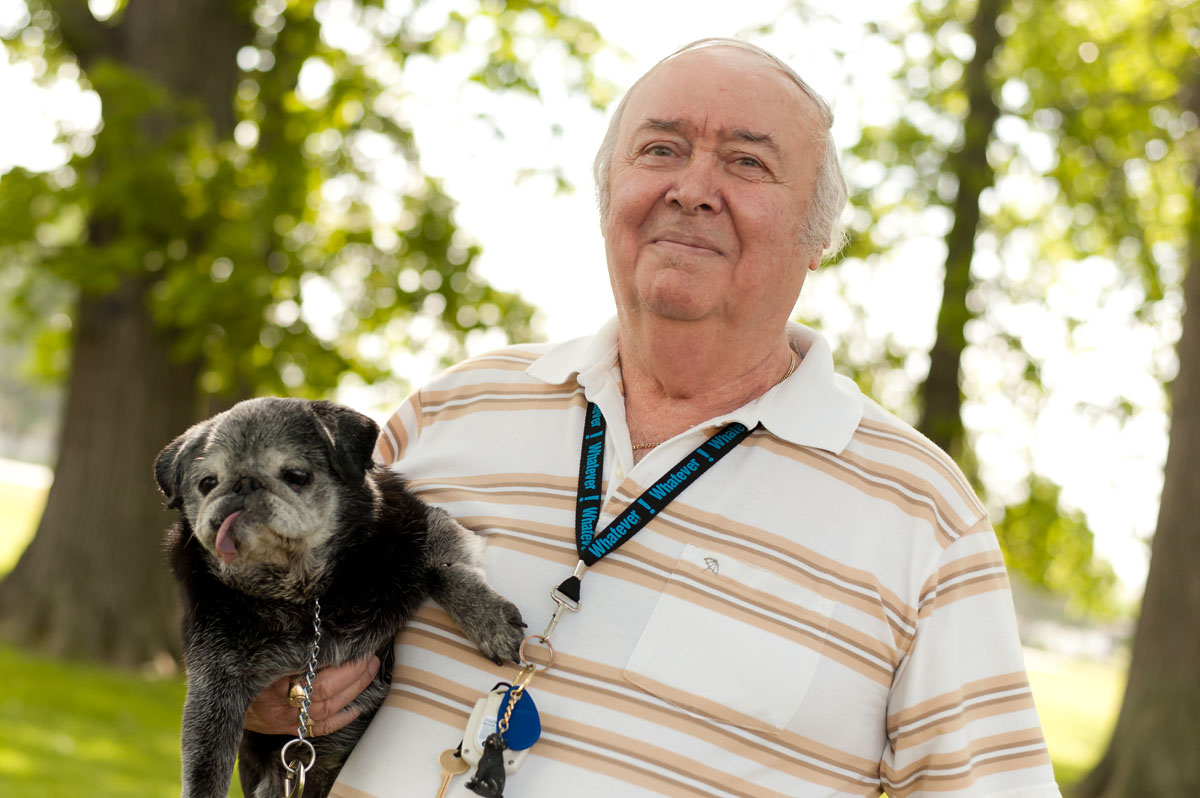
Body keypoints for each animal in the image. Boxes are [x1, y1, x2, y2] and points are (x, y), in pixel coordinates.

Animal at [156, 398, 525, 796]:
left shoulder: (428, 530)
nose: (243, 485)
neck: (304, 593)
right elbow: (205, 770)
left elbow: (444, 569)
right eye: (207, 483)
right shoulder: (214, 685)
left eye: (297, 476)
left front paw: (488, 619)